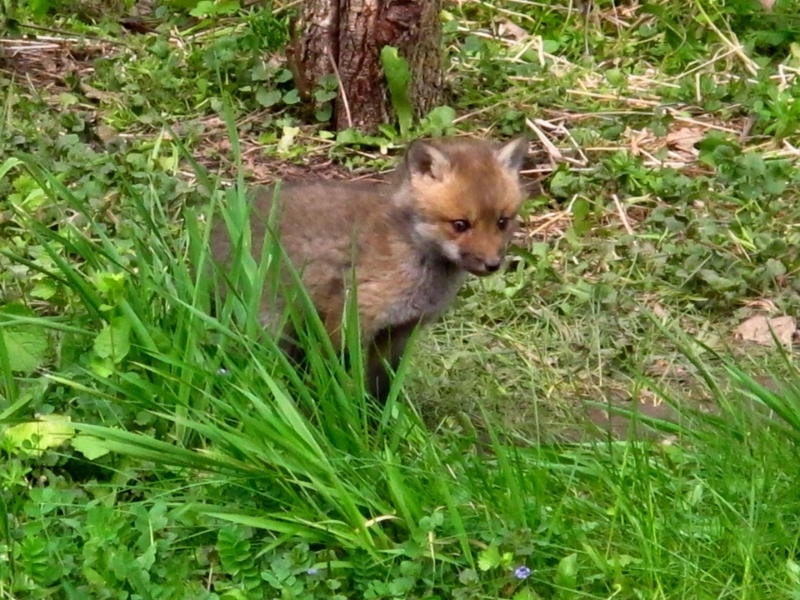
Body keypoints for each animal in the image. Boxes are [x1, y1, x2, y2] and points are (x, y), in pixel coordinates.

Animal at [209, 136, 529, 402]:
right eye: (460, 225)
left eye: (502, 222)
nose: (493, 264)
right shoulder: (349, 319)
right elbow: (334, 375)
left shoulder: (398, 334)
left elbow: (381, 388)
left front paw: (379, 423)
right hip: (272, 326)